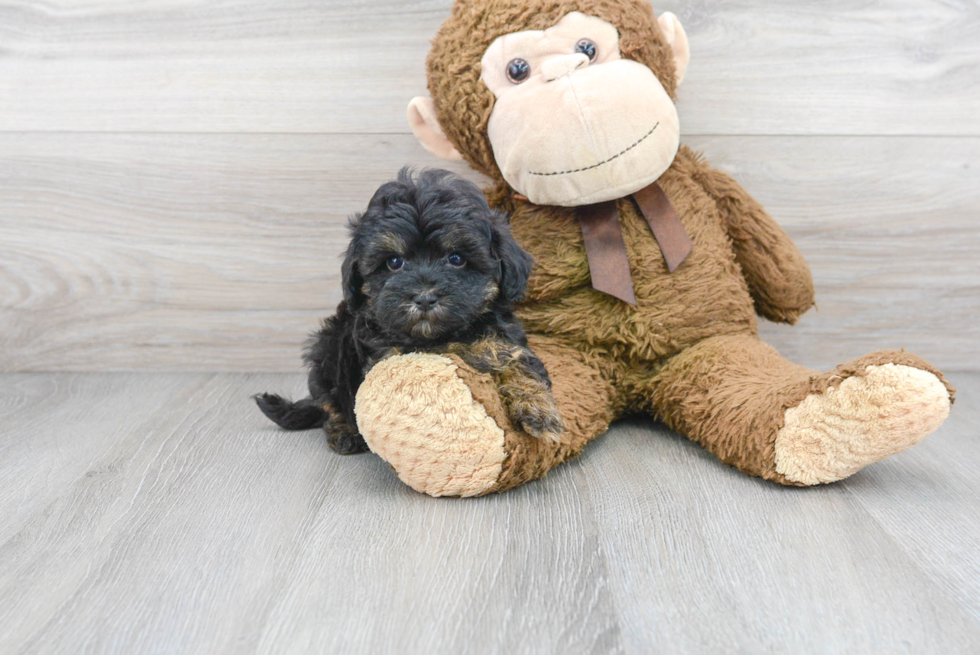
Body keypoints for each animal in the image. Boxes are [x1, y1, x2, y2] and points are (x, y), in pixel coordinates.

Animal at [256, 169, 564, 454]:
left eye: (456, 258)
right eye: (394, 262)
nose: (425, 298)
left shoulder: (507, 338)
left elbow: (519, 361)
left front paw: (539, 409)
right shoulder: (387, 353)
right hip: (326, 351)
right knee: (329, 400)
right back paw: (344, 431)